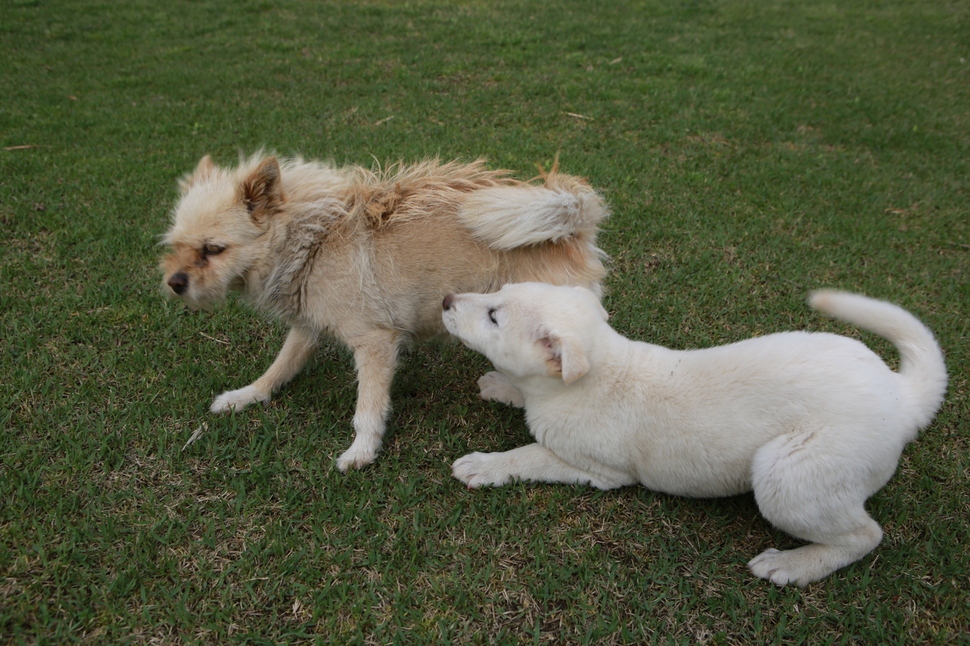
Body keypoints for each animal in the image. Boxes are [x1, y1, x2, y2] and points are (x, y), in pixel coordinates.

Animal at [163, 154, 608, 474]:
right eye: (177, 245)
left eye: (214, 249)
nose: (174, 282)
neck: (312, 239)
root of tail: (575, 218)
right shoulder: (307, 328)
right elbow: (279, 368)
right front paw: (245, 397)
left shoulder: (375, 343)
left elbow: (368, 409)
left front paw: (361, 452)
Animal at [444, 284, 944, 588]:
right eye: (496, 294)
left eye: (493, 316)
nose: (447, 300)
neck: (596, 371)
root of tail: (902, 399)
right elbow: (517, 391)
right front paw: (499, 385)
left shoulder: (597, 470)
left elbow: (529, 454)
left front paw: (484, 465)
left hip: (787, 474)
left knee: (864, 535)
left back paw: (791, 565)